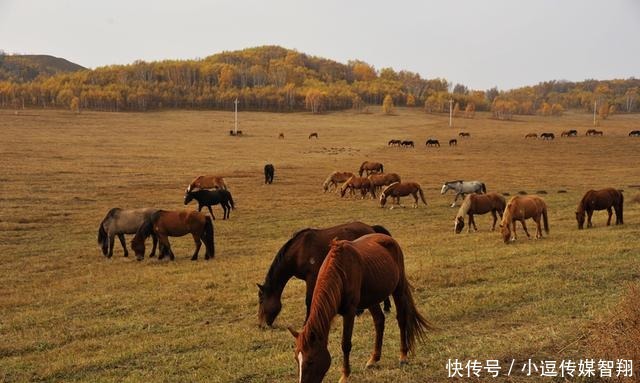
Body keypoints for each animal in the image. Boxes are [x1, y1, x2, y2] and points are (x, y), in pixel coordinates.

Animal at [256, 222, 390, 328]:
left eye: (261, 300)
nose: (261, 325)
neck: (298, 251)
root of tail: (371, 228)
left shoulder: (311, 277)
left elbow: (309, 300)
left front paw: (306, 322)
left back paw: (386, 308)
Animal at [288, 234, 430, 383]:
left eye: (310, 361)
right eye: (296, 360)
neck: (340, 272)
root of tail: (389, 239)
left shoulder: (349, 312)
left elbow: (345, 344)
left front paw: (345, 375)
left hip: (399, 289)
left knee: (401, 320)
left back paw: (403, 356)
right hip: (372, 298)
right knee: (379, 321)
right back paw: (373, 359)